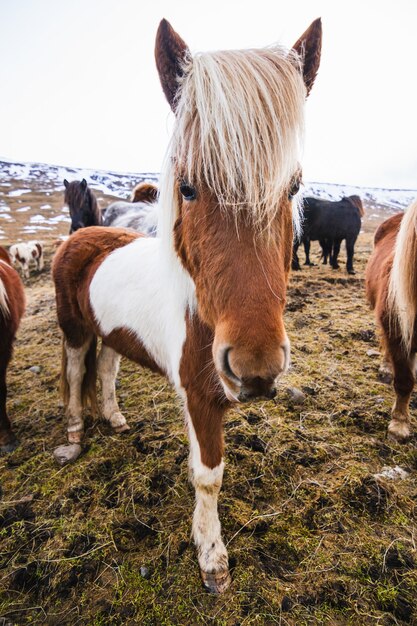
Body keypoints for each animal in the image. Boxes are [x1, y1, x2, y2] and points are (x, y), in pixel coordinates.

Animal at [52, 15, 322, 588]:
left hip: (112, 334)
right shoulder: (200, 400)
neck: (202, 314)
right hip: (74, 330)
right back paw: (76, 432)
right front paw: (211, 557)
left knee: (105, 370)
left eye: (292, 187)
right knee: (76, 370)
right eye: (189, 188)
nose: (256, 368)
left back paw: (114, 419)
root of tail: (82, 233)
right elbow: (208, 477)